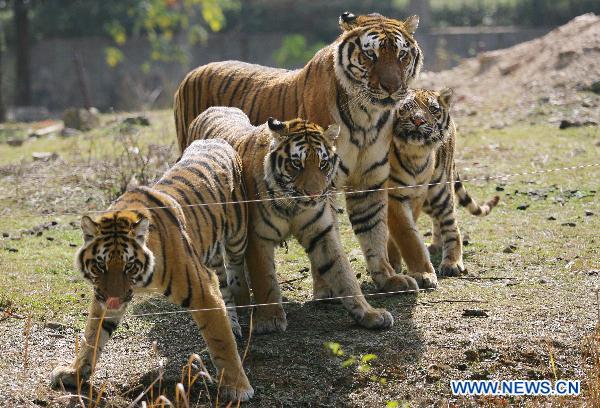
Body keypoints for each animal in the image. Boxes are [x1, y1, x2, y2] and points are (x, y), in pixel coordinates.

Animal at [52, 139, 255, 402]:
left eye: (129, 265)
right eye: (100, 265)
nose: (113, 299)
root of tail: (216, 140)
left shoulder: (203, 291)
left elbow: (220, 341)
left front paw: (238, 388)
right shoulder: (102, 298)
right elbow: (92, 335)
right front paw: (74, 373)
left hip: (237, 237)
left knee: (235, 270)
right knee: (223, 283)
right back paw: (232, 322)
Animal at [176, 11, 424, 294]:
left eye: (402, 55)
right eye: (370, 55)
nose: (391, 87)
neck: (367, 117)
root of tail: (190, 73)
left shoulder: (369, 179)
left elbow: (374, 231)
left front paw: (388, 278)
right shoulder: (322, 183)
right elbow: (328, 237)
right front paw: (327, 290)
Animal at [188, 105, 394, 334]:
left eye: (323, 164)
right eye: (296, 164)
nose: (314, 194)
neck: (292, 206)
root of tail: (212, 108)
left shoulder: (322, 233)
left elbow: (344, 274)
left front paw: (369, 314)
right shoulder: (257, 237)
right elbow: (265, 279)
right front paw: (270, 319)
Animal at [386, 87, 500, 282]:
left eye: (433, 109)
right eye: (406, 107)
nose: (418, 120)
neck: (414, 154)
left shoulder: (414, 195)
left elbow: (405, 234)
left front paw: (418, 271)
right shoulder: (394, 195)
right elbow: (404, 233)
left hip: (440, 190)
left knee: (450, 225)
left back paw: (451, 263)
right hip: (428, 200)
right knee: (436, 219)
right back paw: (436, 246)